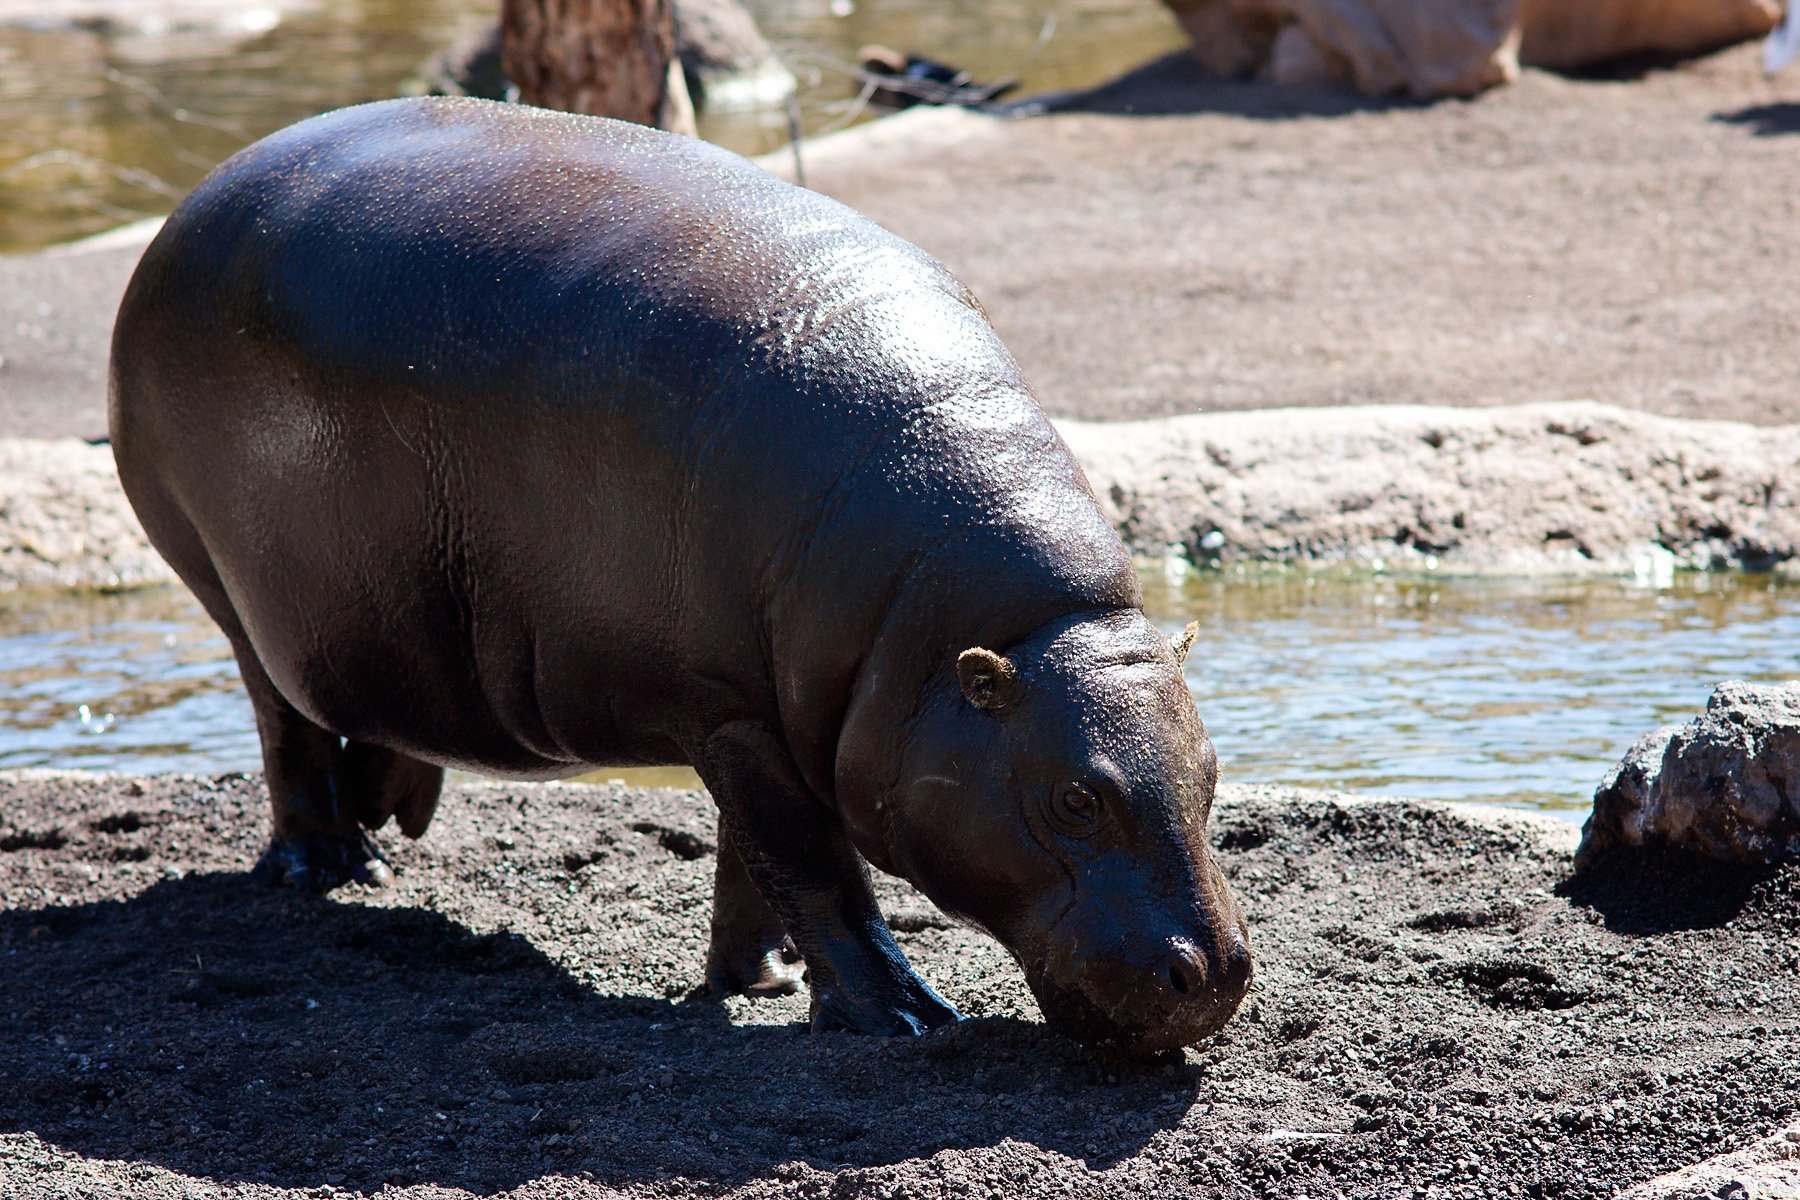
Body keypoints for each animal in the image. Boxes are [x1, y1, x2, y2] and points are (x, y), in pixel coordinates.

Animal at [102, 96, 1252, 1050]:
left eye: (1213, 771)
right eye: (1075, 799)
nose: (1218, 977)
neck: (975, 634)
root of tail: (194, 199)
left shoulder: (765, 712)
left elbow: (755, 859)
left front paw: (760, 979)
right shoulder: (731, 709)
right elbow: (811, 863)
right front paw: (907, 1019)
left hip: (380, 617)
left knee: (373, 707)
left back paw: (385, 831)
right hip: (227, 591)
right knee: (283, 725)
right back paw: (329, 868)